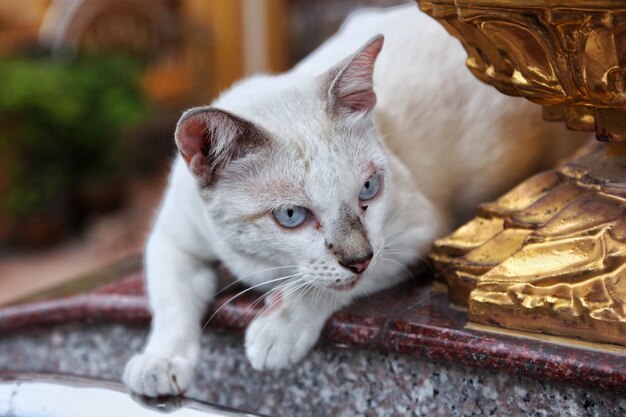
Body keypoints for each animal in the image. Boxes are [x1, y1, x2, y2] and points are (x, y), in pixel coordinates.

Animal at [123, 4, 584, 394]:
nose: (359, 258)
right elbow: (172, 303)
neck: (263, 265)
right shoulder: (172, 241)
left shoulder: (415, 234)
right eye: (291, 215)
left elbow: (321, 291)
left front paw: (277, 330)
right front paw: (159, 365)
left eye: (368, 189)